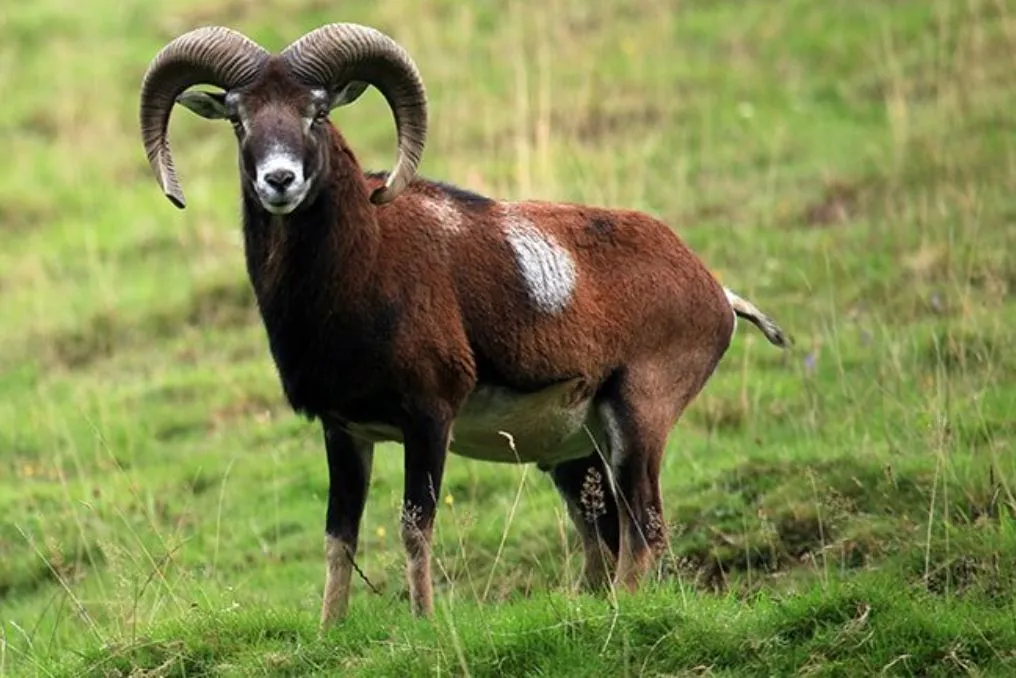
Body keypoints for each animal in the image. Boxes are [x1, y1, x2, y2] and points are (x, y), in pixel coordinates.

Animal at [138, 23, 790, 624]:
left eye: (316, 112)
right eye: (238, 118)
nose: (280, 181)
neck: (361, 266)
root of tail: (715, 292)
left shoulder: (428, 419)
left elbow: (413, 527)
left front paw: (424, 624)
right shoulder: (344, 432)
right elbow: (338, 538)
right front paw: (330, 630)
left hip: (636, 424)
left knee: (643, 531)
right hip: (578, 455)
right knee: (606, 537)